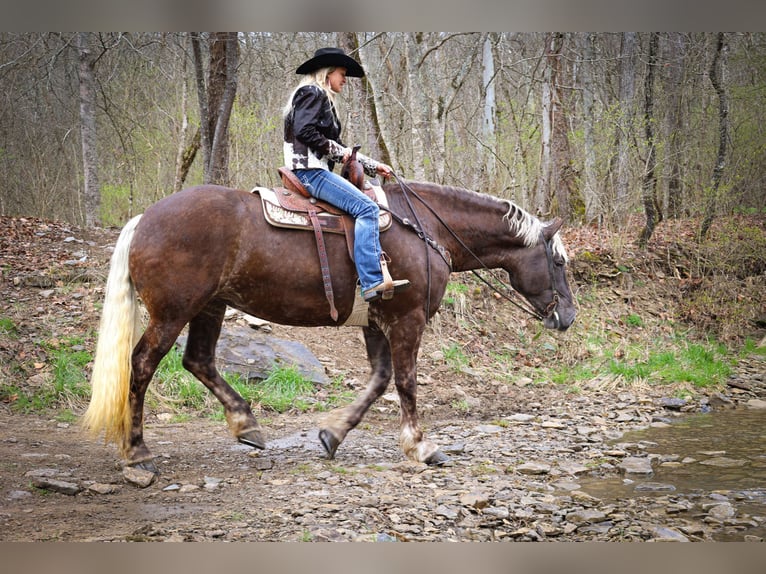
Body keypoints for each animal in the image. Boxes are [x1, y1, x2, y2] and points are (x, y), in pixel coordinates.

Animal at [84, 178, 576, 474]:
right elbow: (406, 382)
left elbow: (379, 381)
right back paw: (137, 454)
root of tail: (143, 220)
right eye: (557, 262)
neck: (424, 229)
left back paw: (246, 425)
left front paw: (332, 435)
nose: (568, 316)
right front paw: (420, 446)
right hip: (173, 313)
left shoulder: (378, 321)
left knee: (199, 361)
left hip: (211, 307)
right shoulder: (407, 319)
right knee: (142, 365)